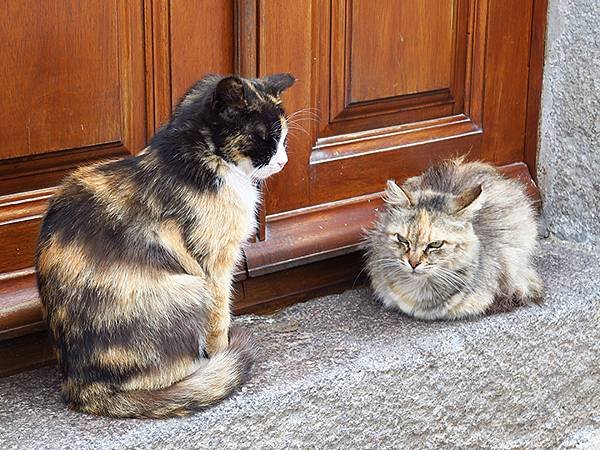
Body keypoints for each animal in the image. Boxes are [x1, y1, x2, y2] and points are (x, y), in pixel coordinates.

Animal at [35, 73, 296, 418]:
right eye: (267, 138)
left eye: (283, 138)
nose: (283, 161)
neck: (201, 158)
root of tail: (82, 386)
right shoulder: (215, 265)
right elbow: (220, 317)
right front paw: (222, 353)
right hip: (190, 289)